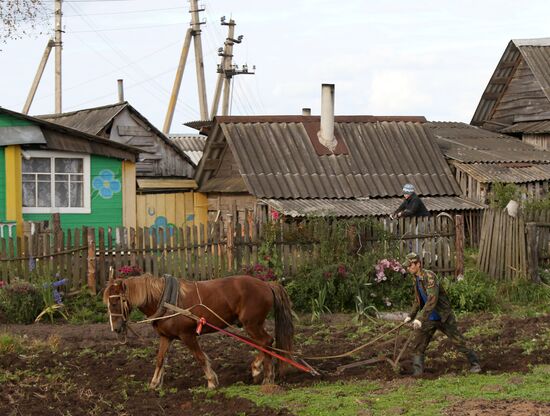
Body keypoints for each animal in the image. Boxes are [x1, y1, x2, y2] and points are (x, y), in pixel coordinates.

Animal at [102, 274, 296, 388]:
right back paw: (260, 371)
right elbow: (160, 359)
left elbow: (200, 357)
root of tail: (266, 284)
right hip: (252, 325)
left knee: (266, 342)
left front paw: (212, 381)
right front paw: (154, 384)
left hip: (252, 324)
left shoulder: (187, 335)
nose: (116, 328)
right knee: (266, 343)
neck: (165, 300)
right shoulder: (166, 337)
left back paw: (265, 375)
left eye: (115, 302)